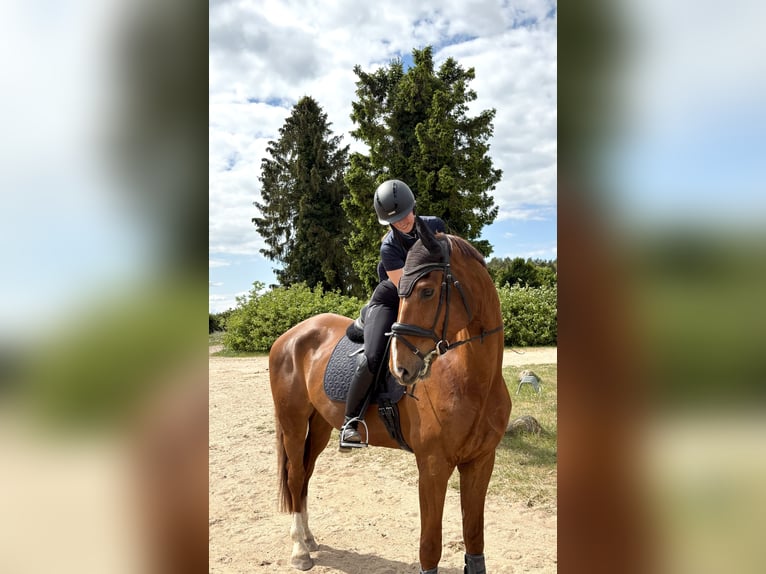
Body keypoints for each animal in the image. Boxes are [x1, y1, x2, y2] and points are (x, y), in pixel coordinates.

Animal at [268, 217, 512, 573]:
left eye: (427, 291)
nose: (401, 369)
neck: (472, 380)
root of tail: (290, 336)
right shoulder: (433, 466)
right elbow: (430, 548)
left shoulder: (481, 462)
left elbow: (475, 538)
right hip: (294, 424)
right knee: (297, 476)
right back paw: (300, 550)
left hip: (320, 425)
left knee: (306, 475)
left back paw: (309, 540)